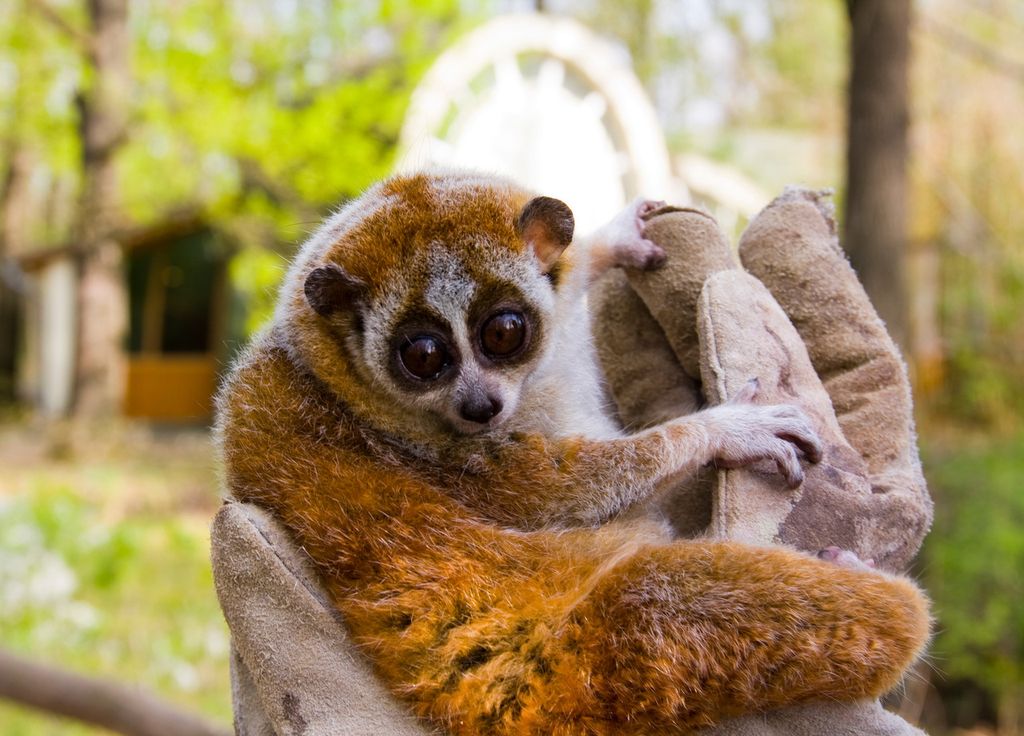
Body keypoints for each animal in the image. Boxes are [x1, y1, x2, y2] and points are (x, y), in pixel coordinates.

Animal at [216, 170, 930, 735]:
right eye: (421, 356)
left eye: (504, 332)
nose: (479, 406)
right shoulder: (434, 458)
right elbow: (562, 493)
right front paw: (727, 430)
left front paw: (611, 239)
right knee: (654, 598)